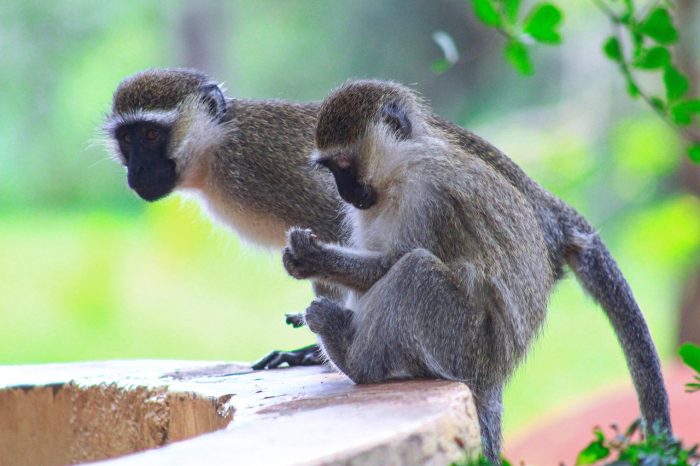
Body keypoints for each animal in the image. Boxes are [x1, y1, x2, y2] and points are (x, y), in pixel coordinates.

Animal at [281, 79, 672, 462]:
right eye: (331, 169)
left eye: (345, 164)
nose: (344, 192)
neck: (400, 170)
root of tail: (494, 371)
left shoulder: (431, 195)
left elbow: (390, 263)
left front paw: (316, 260)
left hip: (463, 343)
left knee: (416, 270)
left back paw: (354, 359)